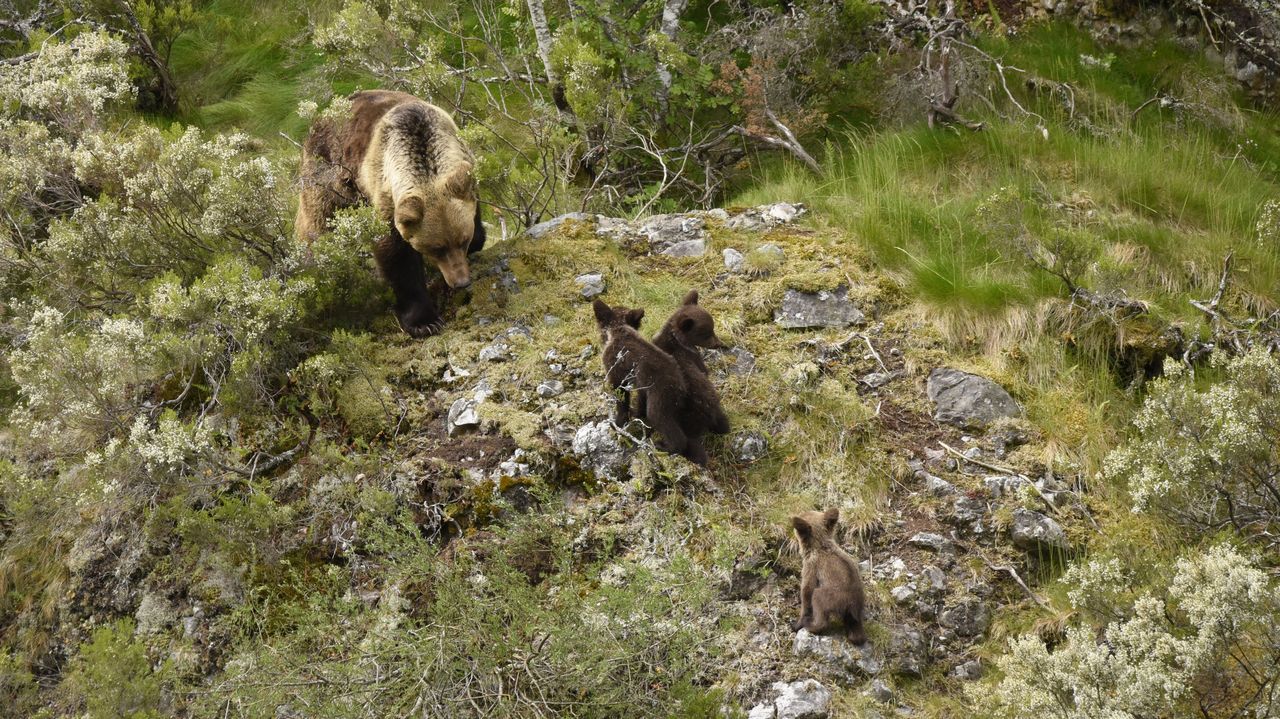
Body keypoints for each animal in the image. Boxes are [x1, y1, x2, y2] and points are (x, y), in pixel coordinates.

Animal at [296, 89, 486, 337]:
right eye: (436, 248)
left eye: (463, 240)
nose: (460, 282)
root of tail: (320, 116)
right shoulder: (383, 193)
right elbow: (396, 257)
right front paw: (424, 321)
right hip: (326, 175)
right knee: (317, 223)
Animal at [592, 298, 689, 457]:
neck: (618, 329)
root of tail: (681, 388)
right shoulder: (642, 384)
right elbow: (640, 399)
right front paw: (636, 414)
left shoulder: (616, 371)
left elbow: (621, 398)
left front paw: (618, 423)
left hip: (660, 398)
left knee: (664, 422)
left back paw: (665, 447)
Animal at [630, 290, 730, 465]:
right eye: (707, 333)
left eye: (712, 329)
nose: (719, 343)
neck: (676, 339)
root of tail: (707, 415)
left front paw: (635, 412)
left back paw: (666, 446)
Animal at [791, 508, 867, 644]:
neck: (819, 545)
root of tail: (851, 605)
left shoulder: (811, 566)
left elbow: (807, 590)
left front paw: (797, 623)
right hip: (855, 609)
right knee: (856, 627)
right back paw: (856, 637)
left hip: (832, 596)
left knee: (818, 600)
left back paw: (811, 625)